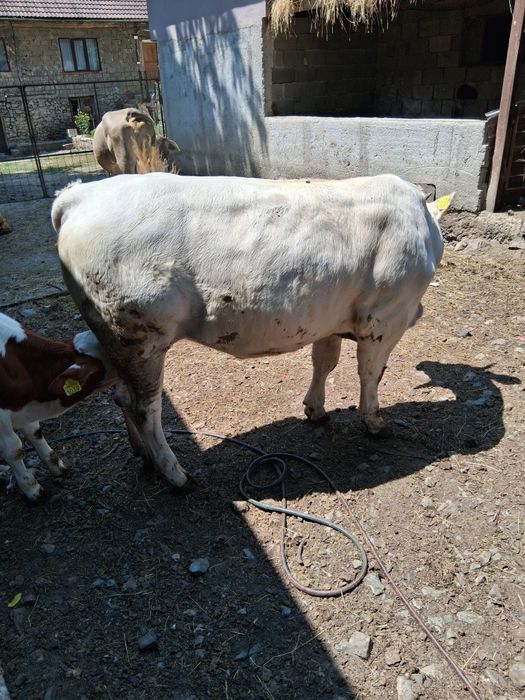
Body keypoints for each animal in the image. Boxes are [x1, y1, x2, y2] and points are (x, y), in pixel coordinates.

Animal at [52, 173, 452, 491]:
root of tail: (80, 195)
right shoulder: (385, 318)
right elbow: (371, 373)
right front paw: (374, 421)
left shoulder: (331, 318)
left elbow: (325, 362)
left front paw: (316, 409)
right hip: (139, 336)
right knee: (144, 408)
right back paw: (175, 474)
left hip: (113, 337)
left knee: (122, 396)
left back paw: (145, 457)